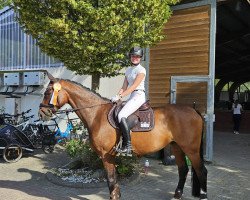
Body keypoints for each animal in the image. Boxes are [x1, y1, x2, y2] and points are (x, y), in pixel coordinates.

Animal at [38, 74, 207, 200]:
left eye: (47, 93)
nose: (42, 113)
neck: (97, 114)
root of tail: (194, 110)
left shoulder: (106, 155)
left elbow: (111, 180)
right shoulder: (109, 156)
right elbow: (113, 179)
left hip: (191, 149)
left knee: (201, 170)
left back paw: (203, 196)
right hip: (177, 146)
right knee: (183, 169)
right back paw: (177, 195)